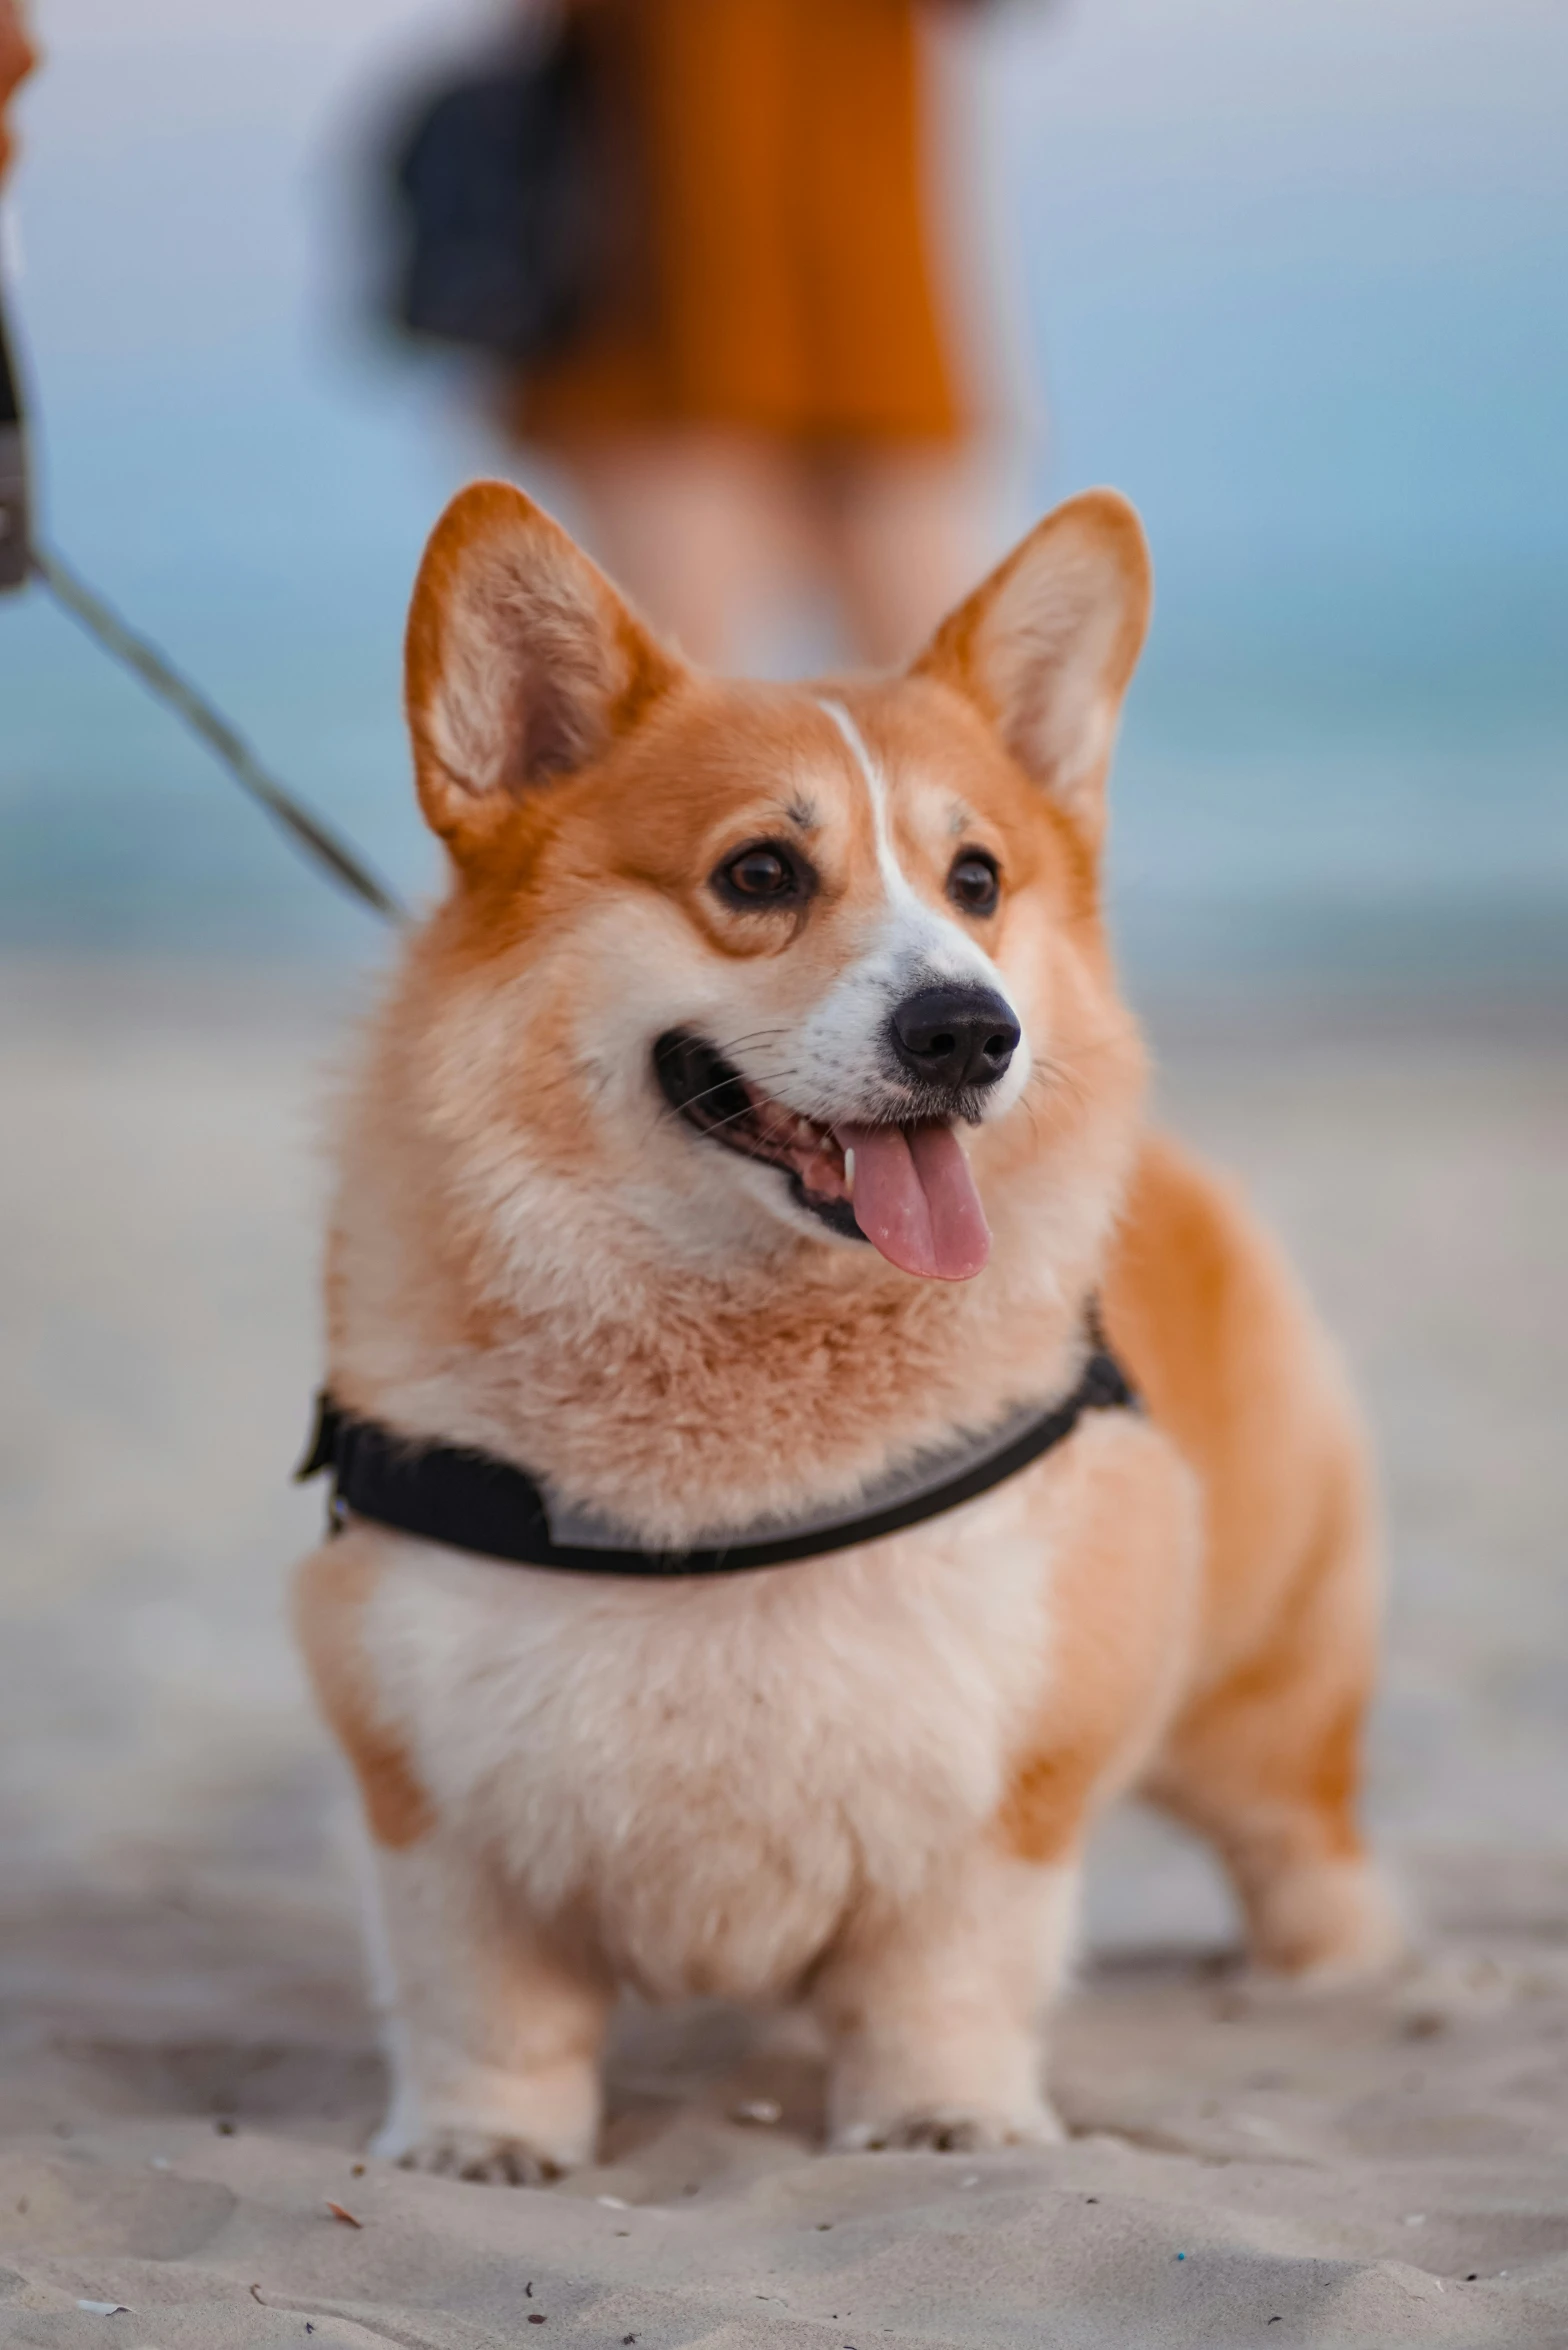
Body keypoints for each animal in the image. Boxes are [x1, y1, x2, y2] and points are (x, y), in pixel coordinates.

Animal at [293, 481, 1401, 2180]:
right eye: (759, 874)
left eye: (978, 881)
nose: (969, 1031)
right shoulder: (425, 1770)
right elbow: (485, 1997)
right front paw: (484, 2146)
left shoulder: (1009, 1769)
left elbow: (950, 1972)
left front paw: (947, 2119)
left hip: (1261, 1680)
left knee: (1303, 1830)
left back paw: (1338, 1976)